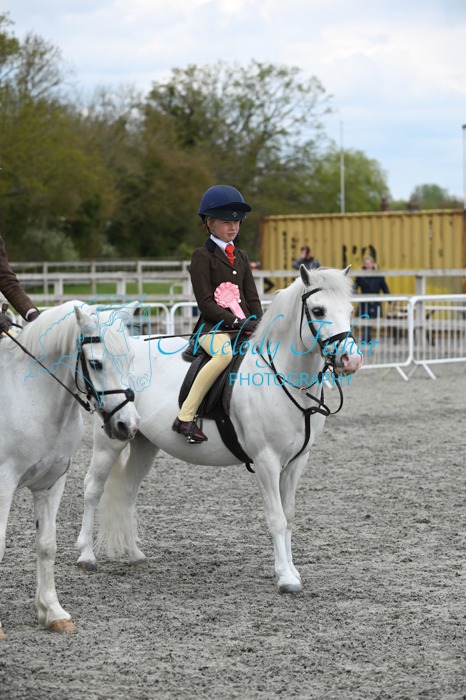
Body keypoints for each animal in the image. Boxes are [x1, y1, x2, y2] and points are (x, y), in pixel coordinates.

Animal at [0, 300, 140, 639]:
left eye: (130, 358)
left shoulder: (51, 483)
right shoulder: (3, 483)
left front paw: (53, 612)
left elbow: (46, 545)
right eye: (96, 363)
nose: (127, 426)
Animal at [76, 267, 363, 594]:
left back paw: (134, 554)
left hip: (143, 442)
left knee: (126, 491)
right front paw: (286, 578)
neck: (283, 378)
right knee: (93, 488)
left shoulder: (296, 462)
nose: (351, 360)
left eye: (349, 310)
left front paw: (292, 570)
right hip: (109, 440)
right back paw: (86, 556)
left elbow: (289, 516)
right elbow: (276, 518)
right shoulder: (266, 461)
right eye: (318, 311)